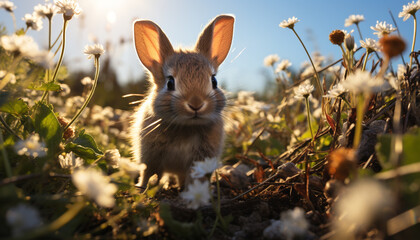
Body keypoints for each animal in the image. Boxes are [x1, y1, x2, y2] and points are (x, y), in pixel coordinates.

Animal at [130, 15, 235, 188]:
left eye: (214, 81)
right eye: (170, 83)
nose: (196, 104)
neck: (186, 126)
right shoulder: (150, 158)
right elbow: (148, 173)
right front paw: (143, 188)